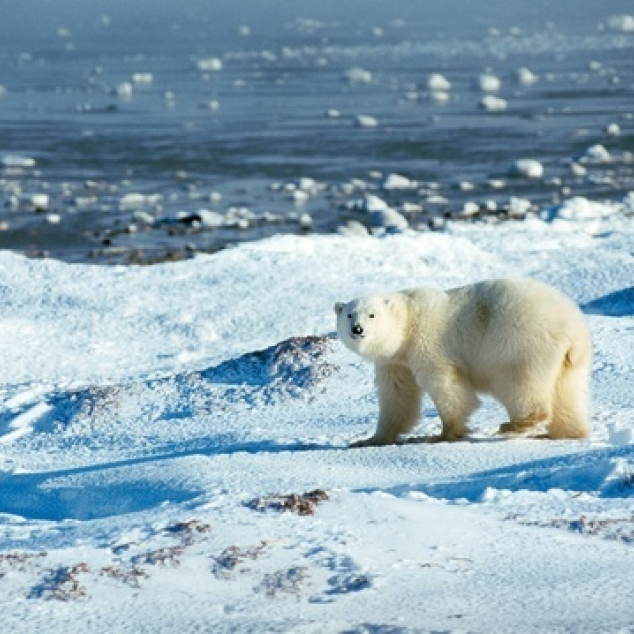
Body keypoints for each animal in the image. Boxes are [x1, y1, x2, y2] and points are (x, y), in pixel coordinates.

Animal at [334, 276, 592, 444]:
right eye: (349, 314)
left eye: (372, 315)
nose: (357, 329)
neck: (408, 323)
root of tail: (572, 327)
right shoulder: (394, 361)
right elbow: (397, 395)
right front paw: (372, 439)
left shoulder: (428, 344)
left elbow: (446, 385)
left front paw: (444, 434)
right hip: (569, 362)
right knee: (567, 392)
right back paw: (567, 432)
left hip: (520, 343)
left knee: (519, 382)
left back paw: (515, 424)